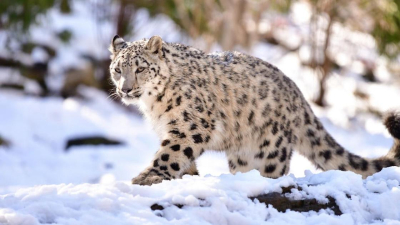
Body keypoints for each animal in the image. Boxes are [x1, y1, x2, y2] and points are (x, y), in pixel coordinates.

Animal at [108, 35, 400, 185]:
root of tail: (297, 94)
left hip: (270, 150)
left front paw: (147, 177)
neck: (153, 106)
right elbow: (181, 158)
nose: (125, 89)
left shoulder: (190, 125)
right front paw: (187, 176)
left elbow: (171, 153)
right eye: (117, 69)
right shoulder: (172, 128)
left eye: (141, 68)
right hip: (243, 154)